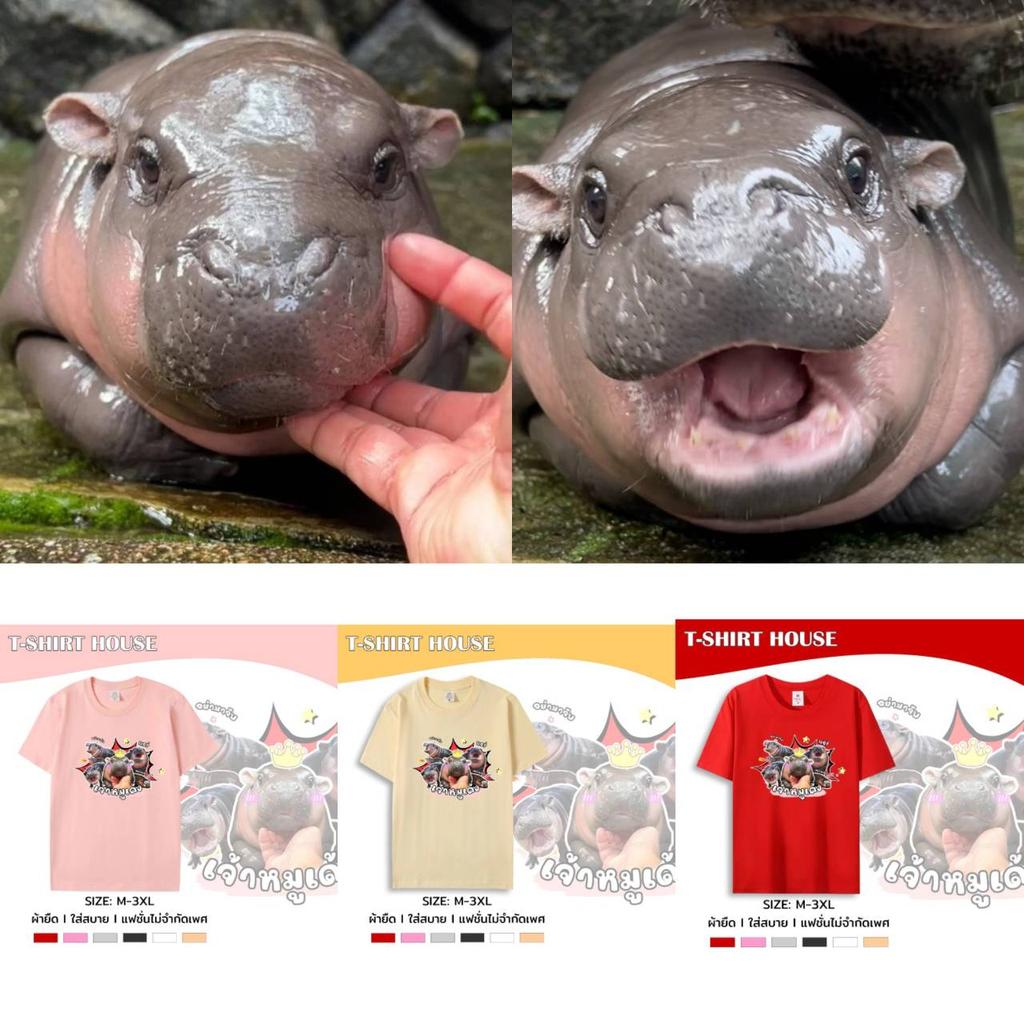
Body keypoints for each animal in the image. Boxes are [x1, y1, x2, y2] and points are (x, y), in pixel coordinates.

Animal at [0, 30, 467, 485]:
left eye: (387, 167)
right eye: (146, 163)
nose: (269, 279)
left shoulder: (453, 342)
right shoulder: (28, 323)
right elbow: (98, 412)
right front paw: (200, 464)